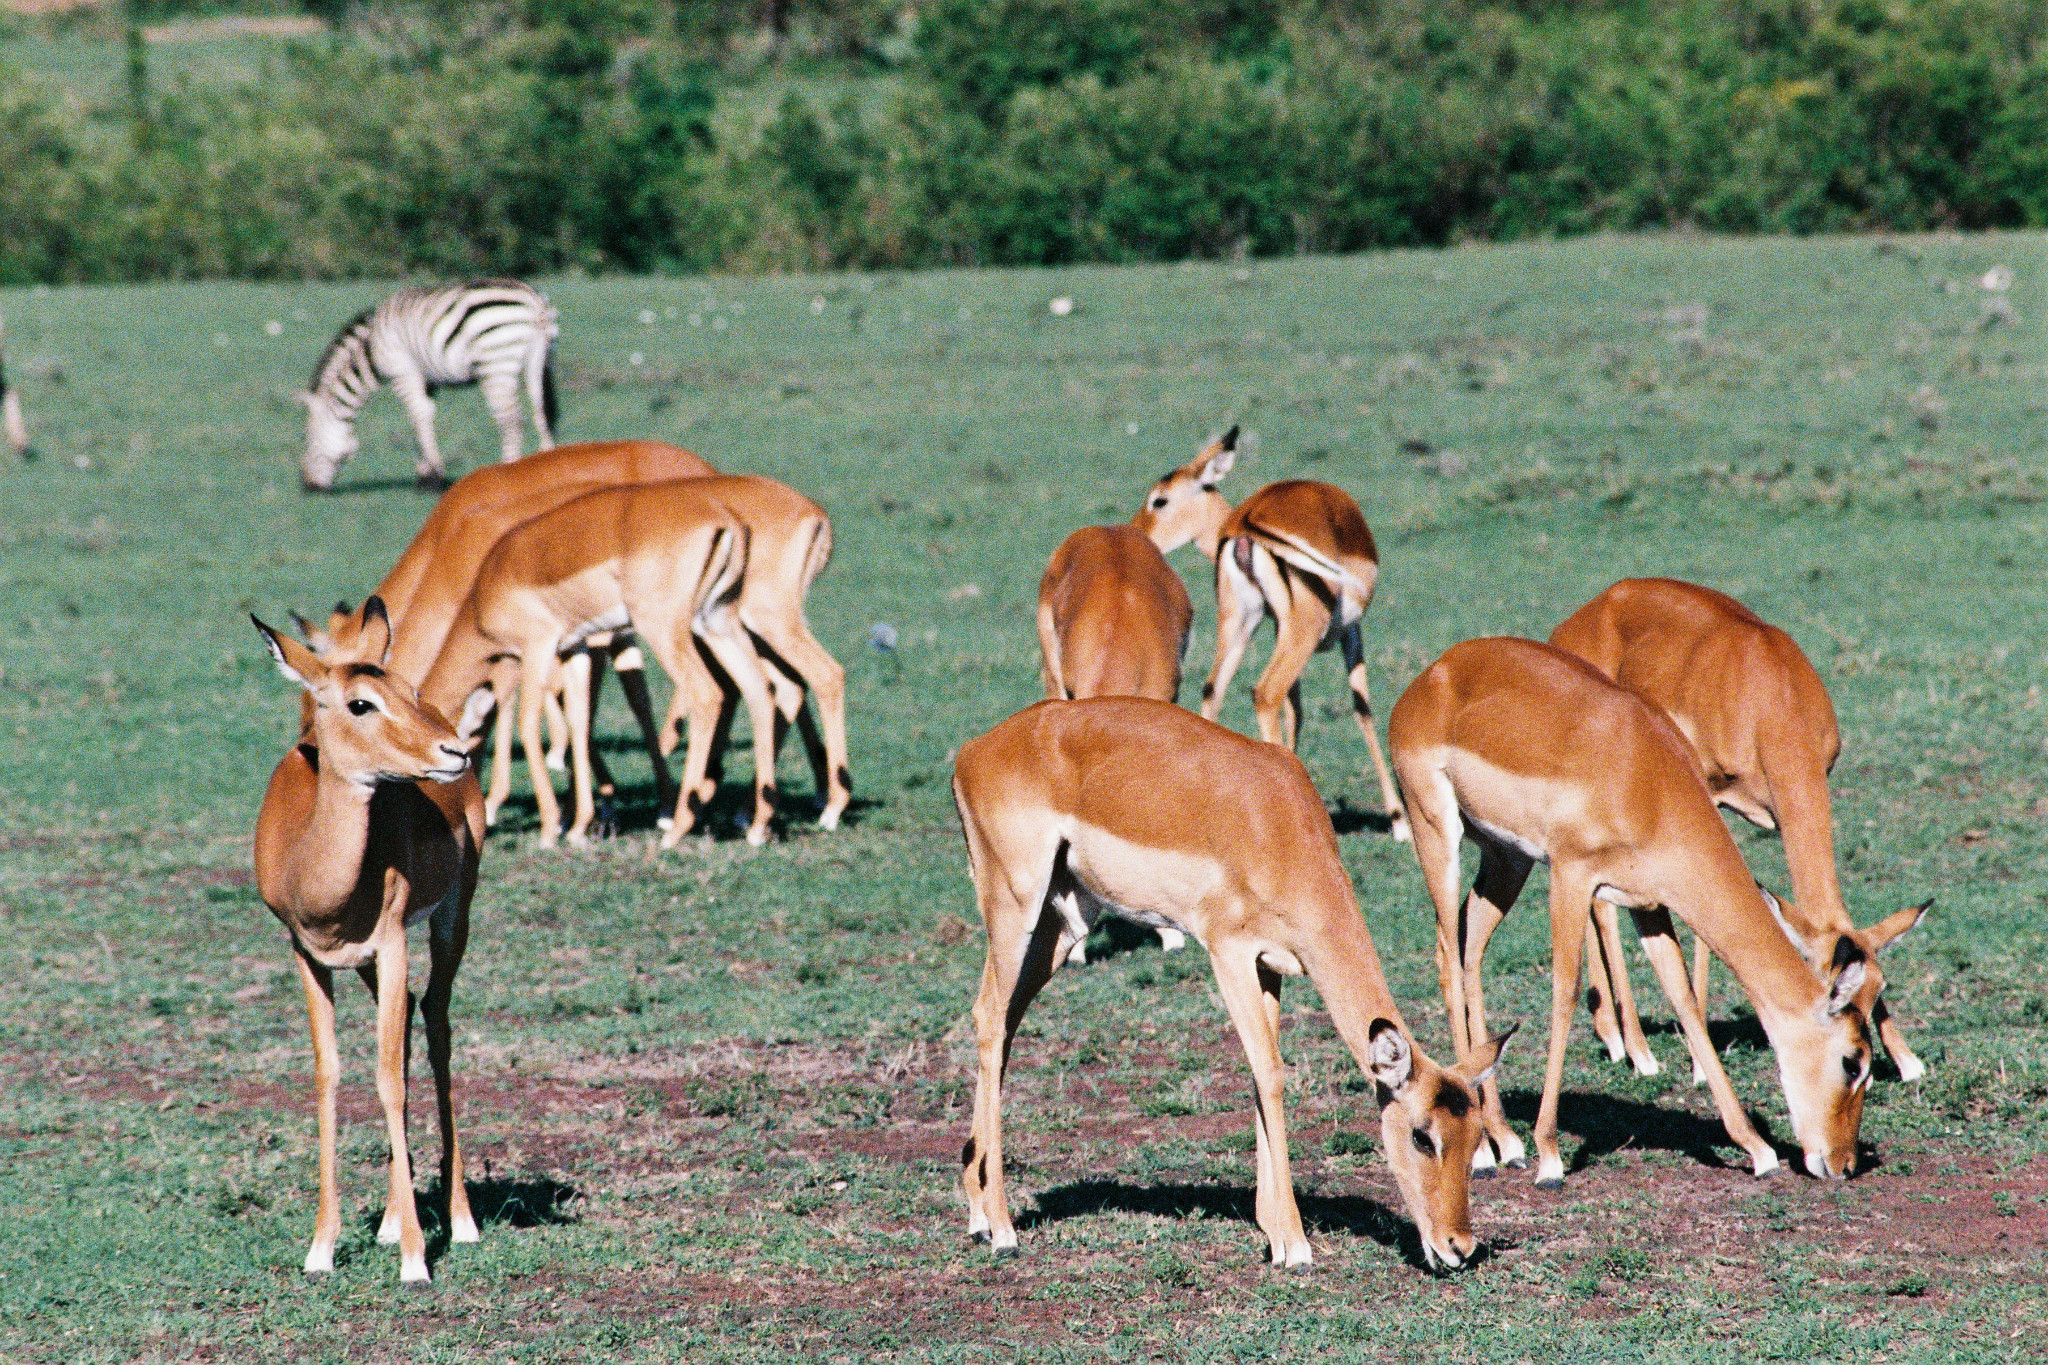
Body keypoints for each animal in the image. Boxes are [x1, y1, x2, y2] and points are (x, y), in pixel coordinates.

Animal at [299, 278, 561, 491]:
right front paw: (424, 474)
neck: (371, 350)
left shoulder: (403, 372)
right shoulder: (427, 380)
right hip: (539, 362)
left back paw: (508, 470)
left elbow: (418, 415)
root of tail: (533, 300)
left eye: (308, 438)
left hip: (496, 365)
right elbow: (422, 419)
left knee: (511, 421)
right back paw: (548, 464)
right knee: (540, 411)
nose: (307, 486)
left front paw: (434, 477)